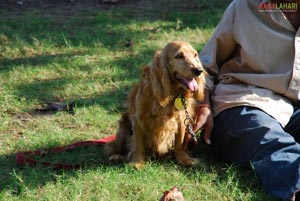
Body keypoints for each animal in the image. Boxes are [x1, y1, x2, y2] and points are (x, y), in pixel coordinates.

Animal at [105, 40, 206, 168]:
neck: (170, 93)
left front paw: (184, 159)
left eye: (195, 55)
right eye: (179, 56)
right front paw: (137, 162)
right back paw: (117, 157)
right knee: (114, 147)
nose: (199, 70)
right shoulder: (139, 119)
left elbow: (179, 142)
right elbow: (138, 144)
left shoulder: (181, 119)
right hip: (123, 125)